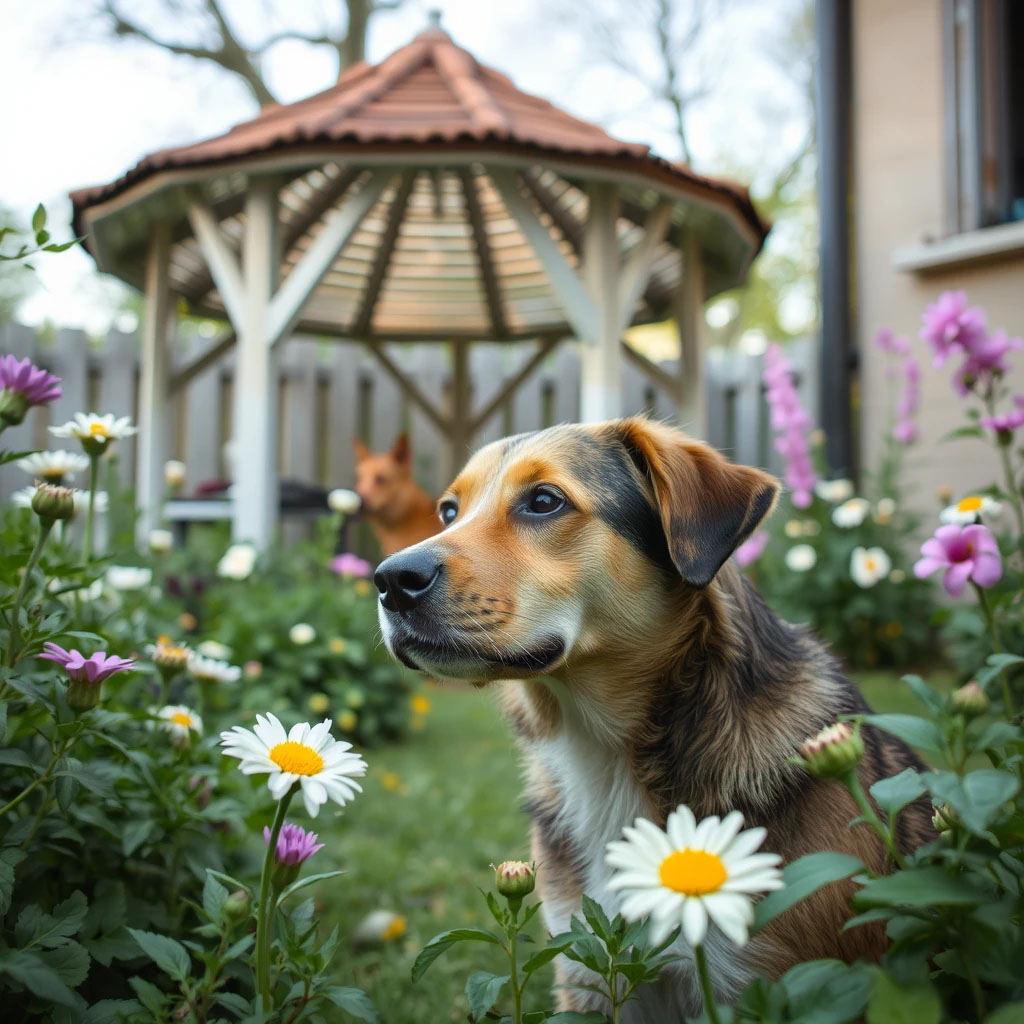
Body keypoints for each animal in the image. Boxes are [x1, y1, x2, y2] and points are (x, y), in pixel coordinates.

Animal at [372, 417, 933, 1024]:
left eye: (543, 501)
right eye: (449, 512)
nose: (389, 579)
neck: (601, 751)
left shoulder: (768, 981)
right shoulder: (588, 969)